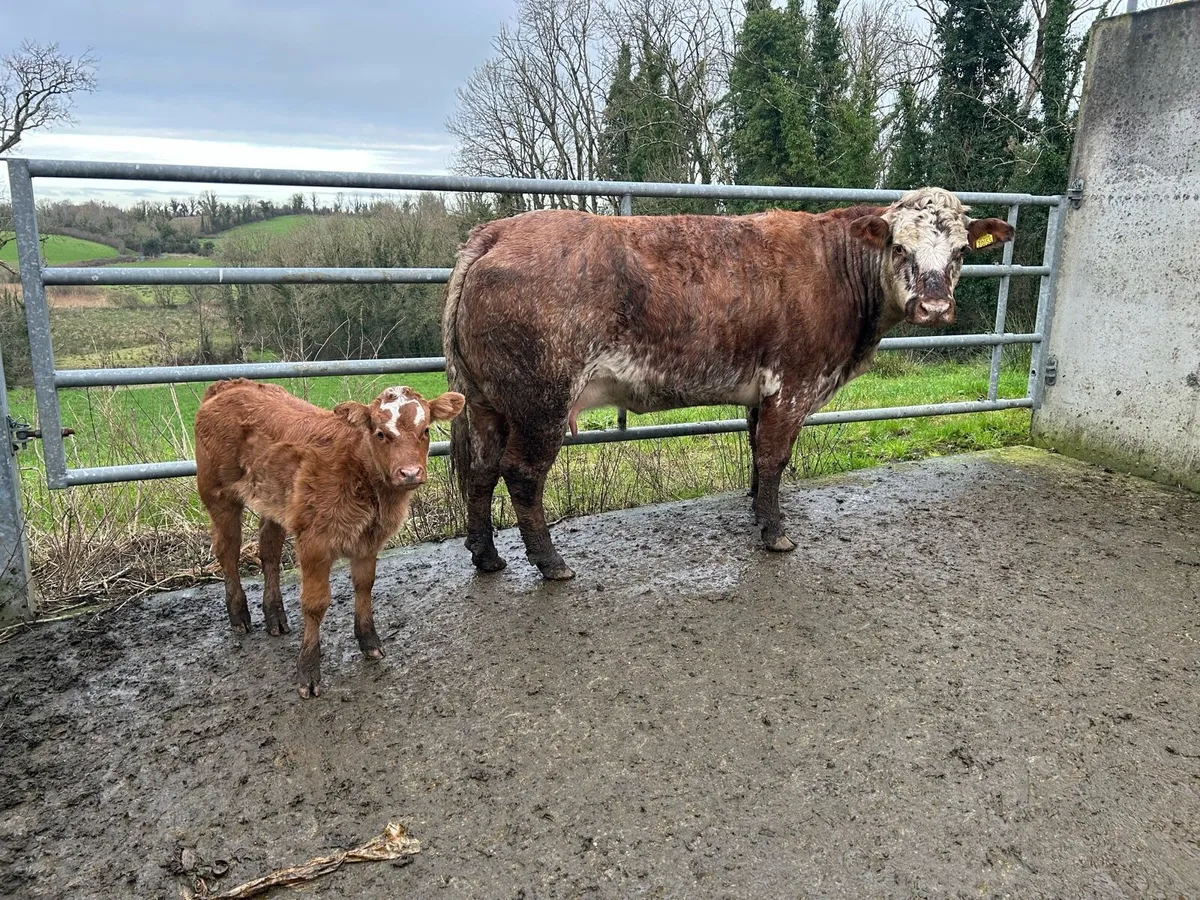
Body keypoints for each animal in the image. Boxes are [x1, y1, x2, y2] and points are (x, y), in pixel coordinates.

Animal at [194, 379, 465, 697]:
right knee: (228, 550)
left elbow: (364, 586)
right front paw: (308, 671)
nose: (409, 473)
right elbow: (315, 603)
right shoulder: (315, 542)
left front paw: (369, 642)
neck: (360, 470)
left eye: (425, 431)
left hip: (276, 502)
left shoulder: (368, 540)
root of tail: (230, 385)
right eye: (380, 433)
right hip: (218, 494)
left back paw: (274, 615)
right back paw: (238, 615)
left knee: (269, 549)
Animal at [441, 187, 1014, 581]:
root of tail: (497, 232)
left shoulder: (762, 393)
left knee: (481, 470)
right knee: (521, 474)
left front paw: (757, 510)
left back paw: (486, 556)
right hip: (542, 400)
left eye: (962, 251)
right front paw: (775, 533)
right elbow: (775, 457)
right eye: (898, 247)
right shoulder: (794, 384)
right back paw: (550, 562)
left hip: (487, 401)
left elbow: (758, 454)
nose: (934, 306)